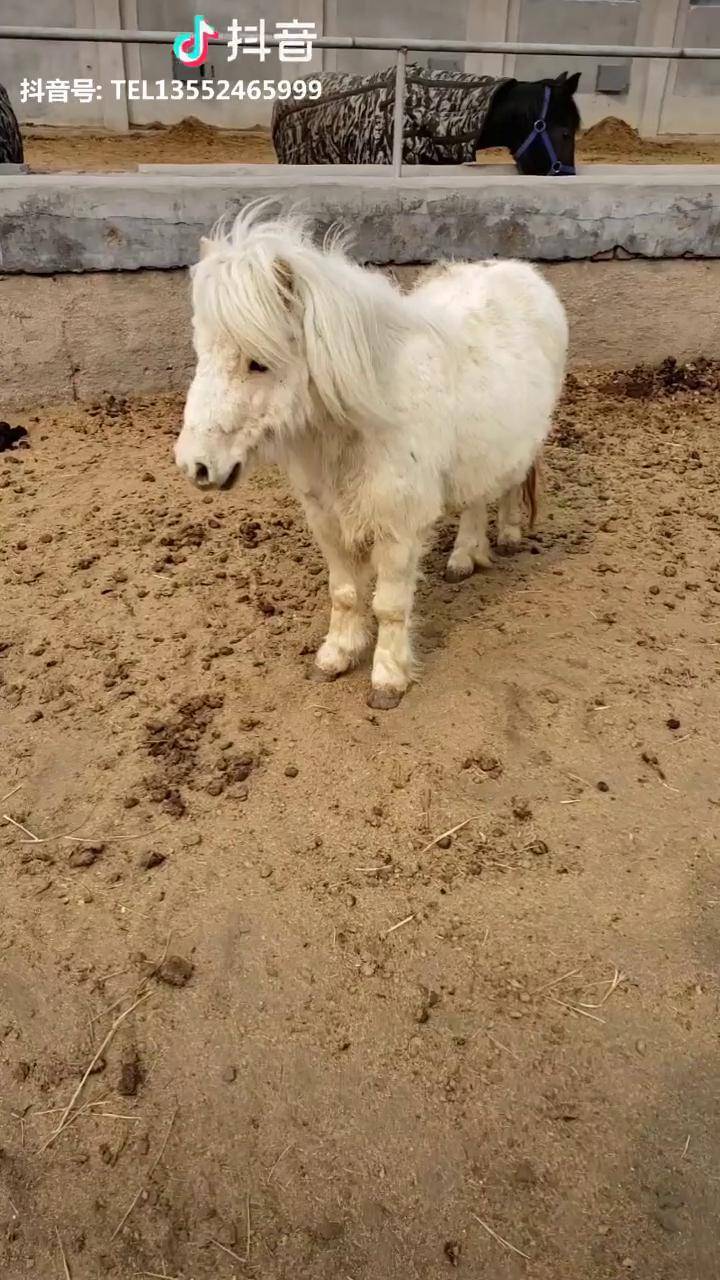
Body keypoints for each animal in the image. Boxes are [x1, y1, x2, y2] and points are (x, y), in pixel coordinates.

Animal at [174, 205, 568, 709]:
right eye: (201, 352)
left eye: (258, 363)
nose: (196, 465)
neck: (365, 416)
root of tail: (520, 272)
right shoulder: (326, 520)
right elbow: (344, 592)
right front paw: (336, 656)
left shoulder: (398, 529)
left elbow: (390, 605)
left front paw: (388, 678)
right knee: (476, 498)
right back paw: (465, 557)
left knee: (511, 483)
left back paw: (510, 535)